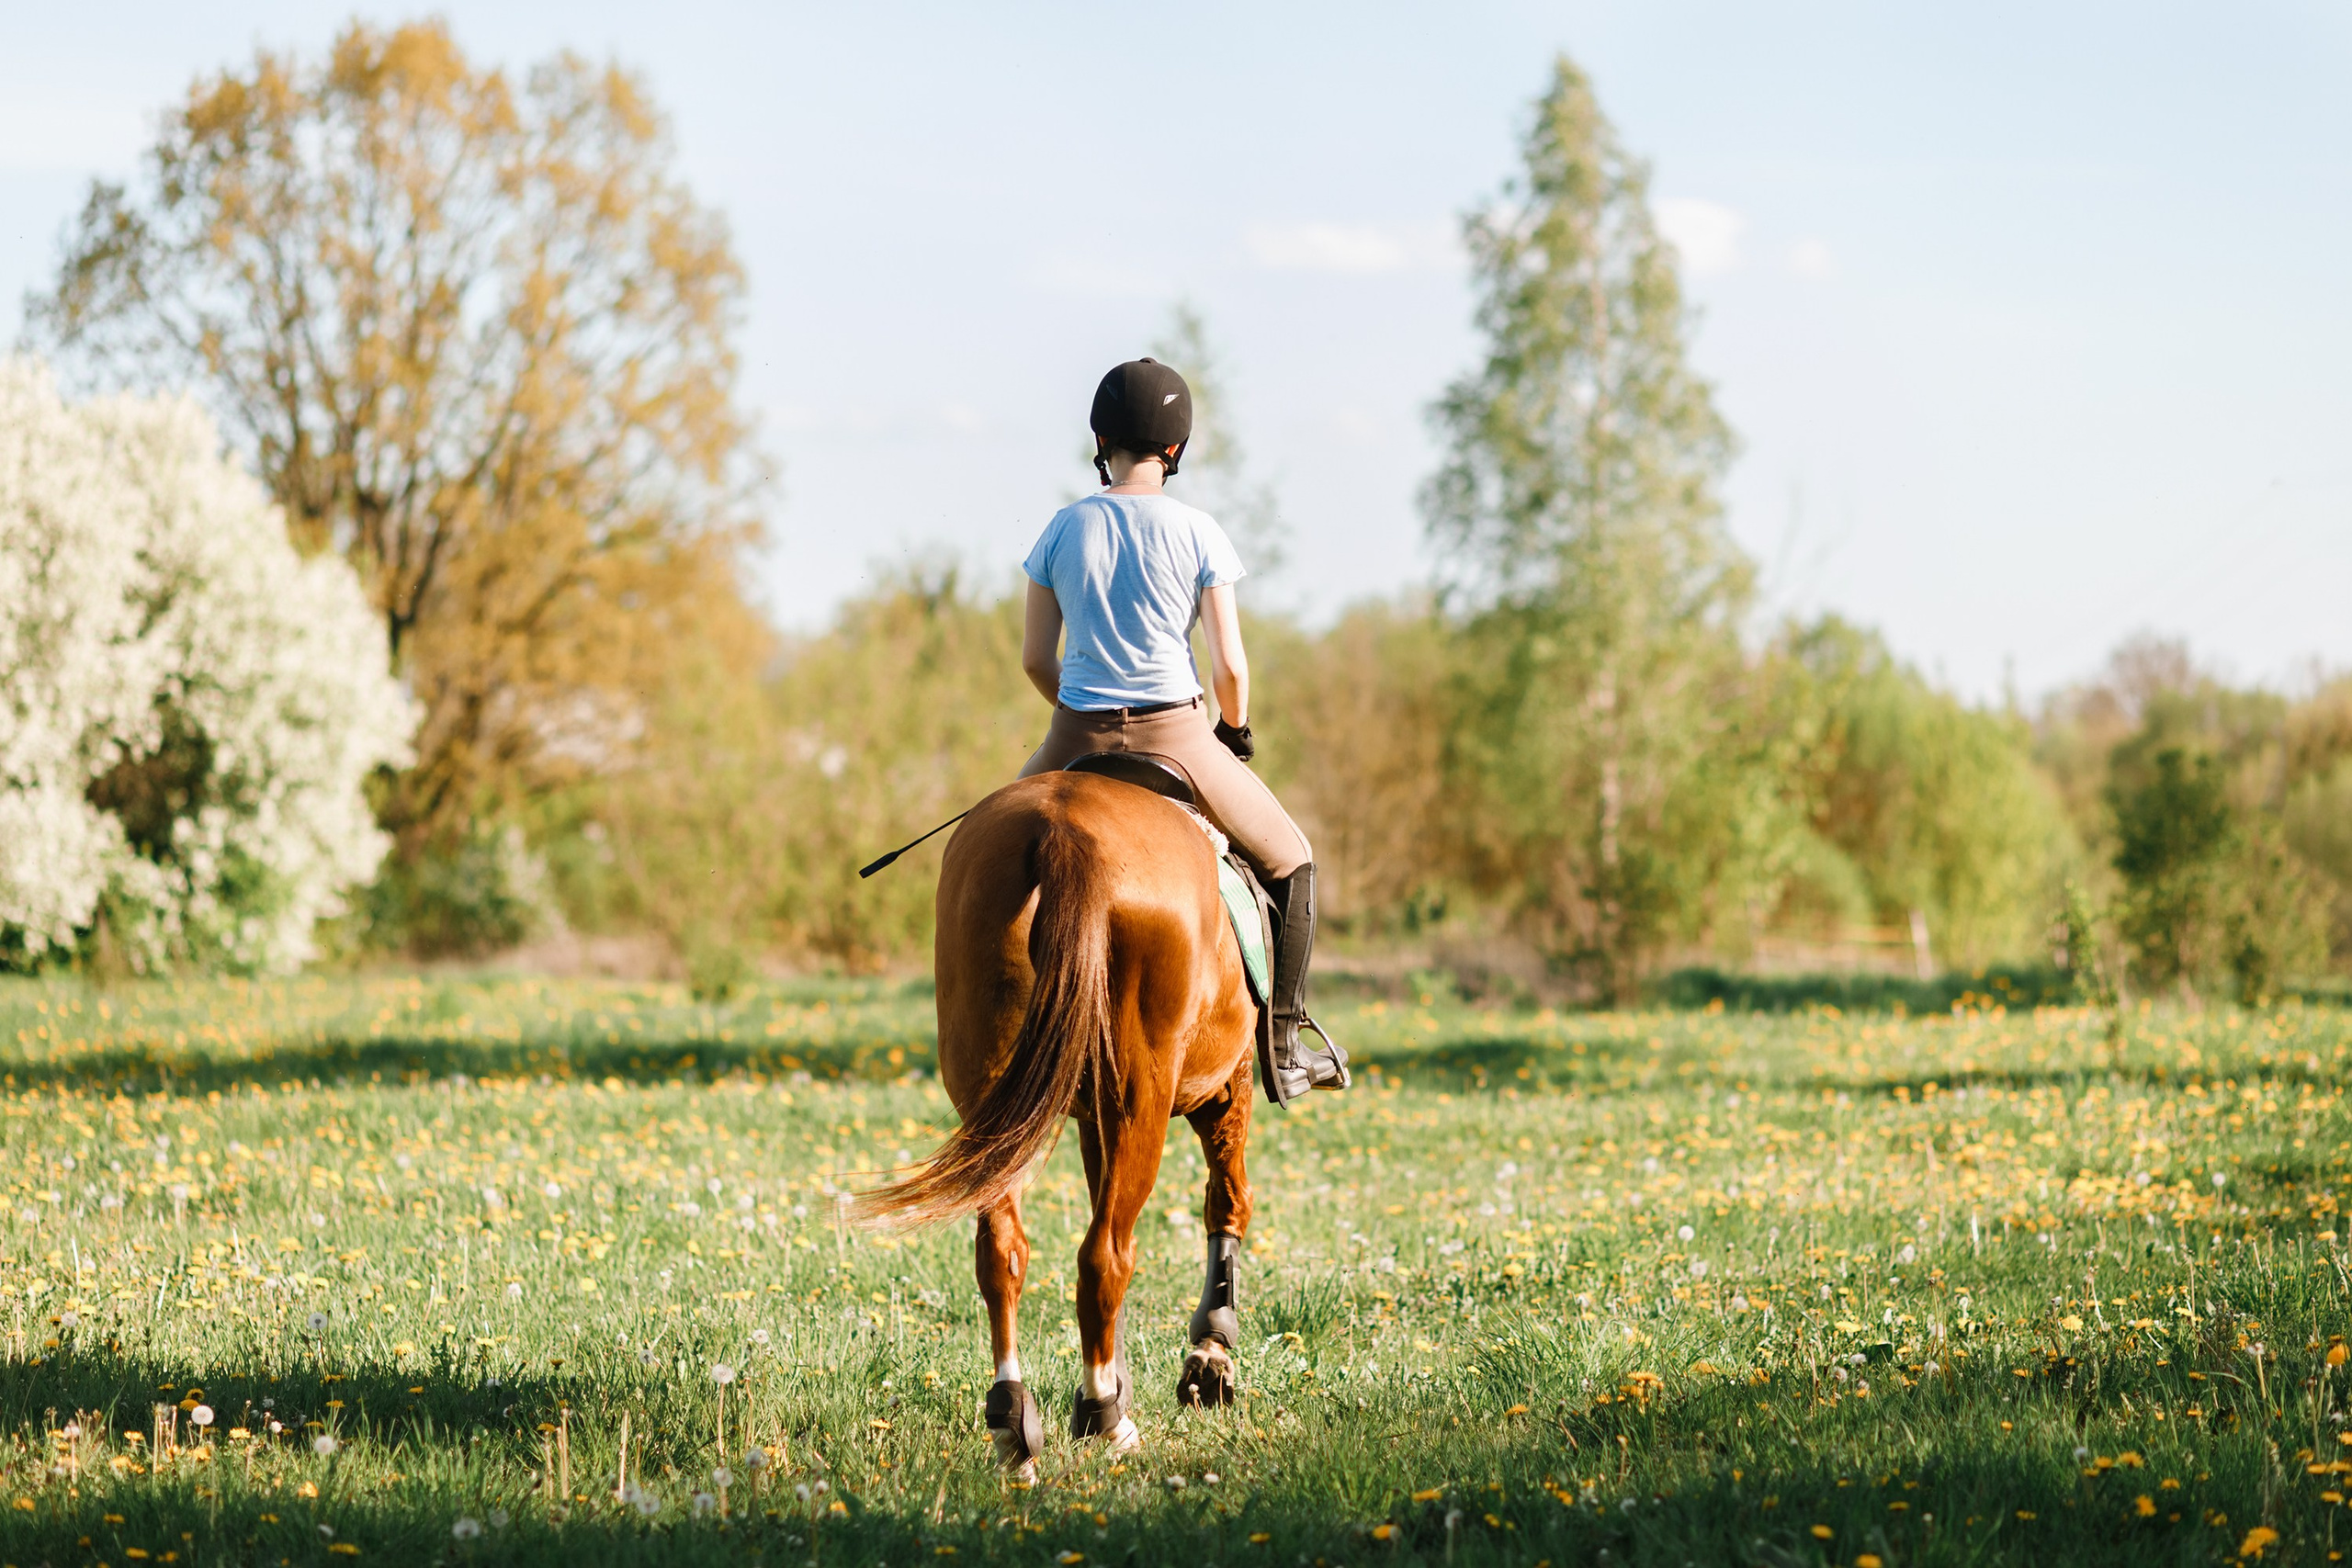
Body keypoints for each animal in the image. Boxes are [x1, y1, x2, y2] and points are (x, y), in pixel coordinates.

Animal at [856, 766, 1259, 1469]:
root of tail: (1062, 828)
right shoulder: (1224, 1088)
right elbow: (1227, 1200)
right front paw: (1209, 1356)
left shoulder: (1093, 1115)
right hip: (1142, 1099)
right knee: (1105, 1253)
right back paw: (1106, 1417)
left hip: (996, 1098)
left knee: (1003, 1250)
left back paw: (1013, 1418)